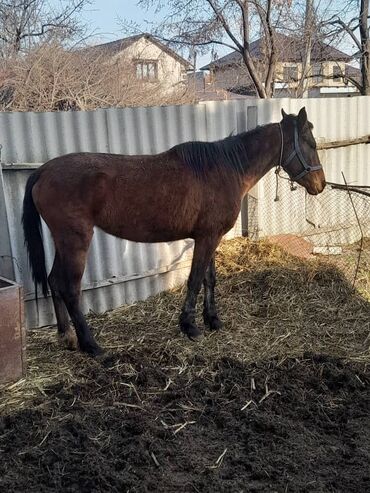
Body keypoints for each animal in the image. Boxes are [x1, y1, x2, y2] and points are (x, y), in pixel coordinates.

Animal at [21, 106, 326, 354]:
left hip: (62, 241)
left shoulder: (209, 236)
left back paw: (67, 337)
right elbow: (194, 280)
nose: (321, 184)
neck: (225, 168)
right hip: (76, 240)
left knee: (54, 281)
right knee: (70, 288)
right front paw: (190, 326)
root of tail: (43, 171)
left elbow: (209, 279)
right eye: (310, 143)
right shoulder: (206, 239)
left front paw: (213, 320)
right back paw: (91, 345)